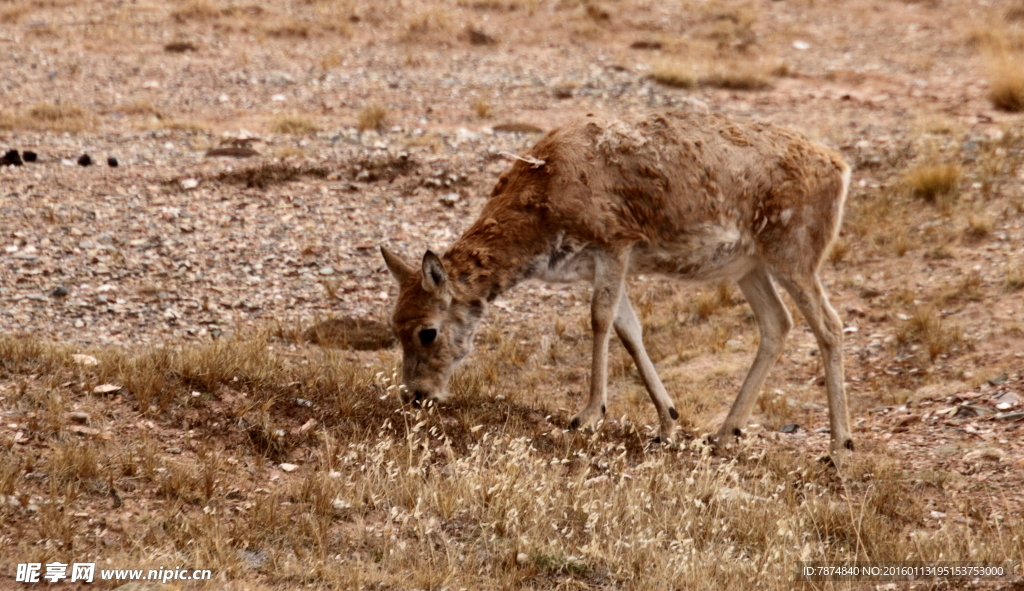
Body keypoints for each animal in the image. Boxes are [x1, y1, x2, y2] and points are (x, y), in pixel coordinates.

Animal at [380, 109, 851, 460]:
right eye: (394, 325)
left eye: (427, 331)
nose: (416, 395)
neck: (541, 210)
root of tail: (842, 169)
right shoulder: (604, 262)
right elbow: (629, 328)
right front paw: (667, 422)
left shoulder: (613, 241)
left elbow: (600, 319)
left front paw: (588, 414)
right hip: (749, 265)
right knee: (778, 322)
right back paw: (724, 432)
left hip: (794, 252)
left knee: (829, 324)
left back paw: (839, 446)